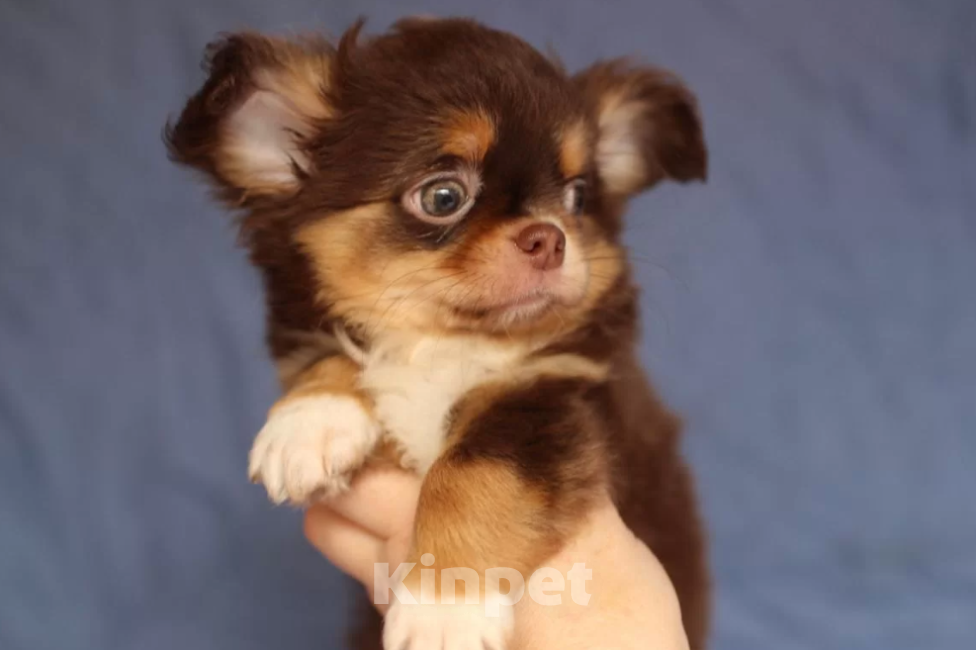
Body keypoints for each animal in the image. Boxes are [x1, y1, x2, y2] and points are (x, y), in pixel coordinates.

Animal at [166, 16, 708, 648]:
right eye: (442, 196)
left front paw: (444, 606)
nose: (550, 238)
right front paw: (309, 421)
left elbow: (471, 472)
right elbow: (337, 353)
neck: (445, 345)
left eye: (577, 197)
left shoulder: (553, 401)